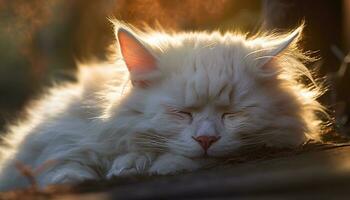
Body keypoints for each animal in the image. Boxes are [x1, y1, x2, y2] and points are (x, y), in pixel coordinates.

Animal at [0, 21, 324, 191]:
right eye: (181, 113)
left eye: (232, 114)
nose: (206, 139)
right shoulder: (63, 132)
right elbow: (62, 159)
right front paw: (79, 176)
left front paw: (144, 165)